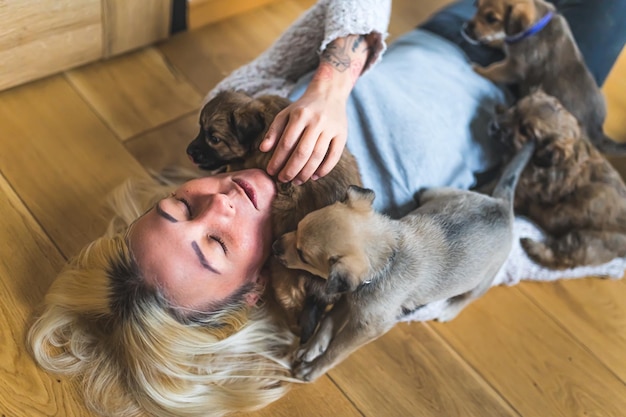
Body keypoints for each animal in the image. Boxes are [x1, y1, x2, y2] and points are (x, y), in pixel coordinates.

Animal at [272, 141, 532, 382]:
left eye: (303, 256)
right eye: (298, 225)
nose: (273, 245)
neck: (389, 258)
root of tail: (501, 206)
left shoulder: (368, 326)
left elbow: (337, 351)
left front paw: (313, 369)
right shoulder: (350, 296)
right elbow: (327, 320)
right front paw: (311, 348)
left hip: (483, 278)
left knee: (469, 296)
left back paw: (449, 309)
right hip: (434, 193)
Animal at [460, 0, 620, 154]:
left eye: (491, 19)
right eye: (476, 5)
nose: (464, 29)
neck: (533, 28)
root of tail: (598, 131)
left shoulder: (514, 68)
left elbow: (494, 69)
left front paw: (478, 69)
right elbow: (503, 43)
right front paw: (494, 42)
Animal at [488, 89, 624, 268]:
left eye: (524, 131)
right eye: (515, 108)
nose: (493, 126)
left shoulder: (520, 190)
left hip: (589, 238)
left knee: (561, 258)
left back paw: (533, 245)